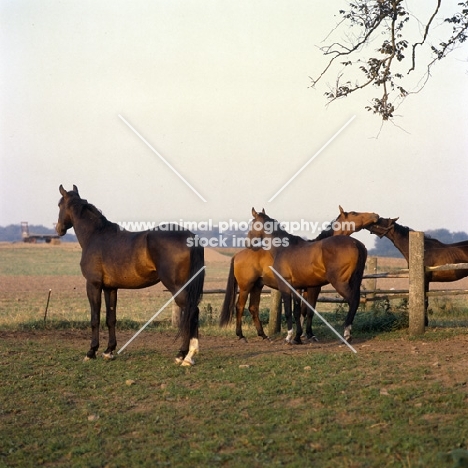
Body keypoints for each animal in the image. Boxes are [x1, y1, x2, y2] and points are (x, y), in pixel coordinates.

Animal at [56, 184, 205, 366]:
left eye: (59, 205)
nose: (59, 229)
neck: (96, 235)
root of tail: (191, 237)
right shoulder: (110, 288)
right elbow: (111, 318)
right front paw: (109, 351)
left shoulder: (93, 285)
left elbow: (95, 318)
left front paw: (91, 352)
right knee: (193, 311)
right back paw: (189, 355)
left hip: (177, 287)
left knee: (190, 312)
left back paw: (184, 355)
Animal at [220, 207, 376, 342]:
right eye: (354, 213)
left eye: (252, 224)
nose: (248, 242)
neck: (283, 248)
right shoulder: (301, 288)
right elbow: (299, 311)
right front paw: (300, 336)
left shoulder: (296, 287)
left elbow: (296, 311)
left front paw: (295, 336)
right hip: (250, 286)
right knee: (247, 307)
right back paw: (252, 335)